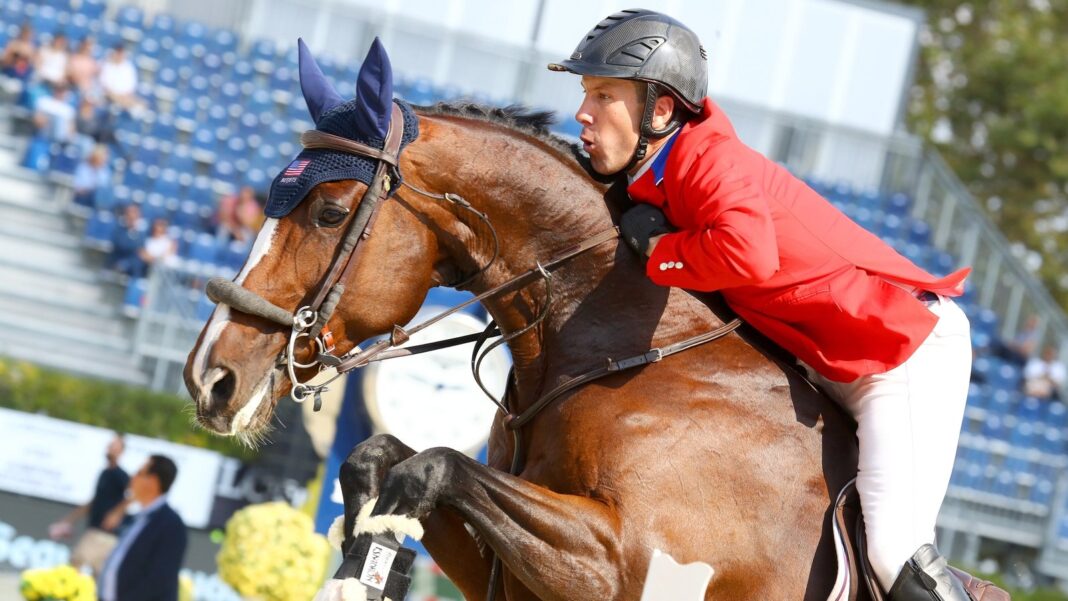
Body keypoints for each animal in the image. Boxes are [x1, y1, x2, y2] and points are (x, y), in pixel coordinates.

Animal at [185, 39, 865, 600]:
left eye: (329, 213)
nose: (208, 378)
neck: (627, 351)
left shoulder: (627, 563)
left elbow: (439, 463)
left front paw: (398, 498)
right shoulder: (501, 569)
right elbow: (382, 453)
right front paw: (370, 515)